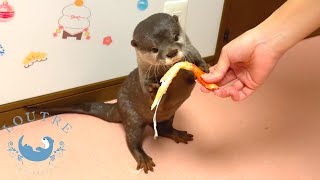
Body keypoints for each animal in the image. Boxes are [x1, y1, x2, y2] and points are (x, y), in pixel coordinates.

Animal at [28, 13, 210, 174]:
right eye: (154, 49)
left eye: (176, 36)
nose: (171, 52)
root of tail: (118, 106)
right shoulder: (144, 78)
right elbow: (154, 97)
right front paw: (154, 89)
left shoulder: (192, 52)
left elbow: (196, 63)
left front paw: (203, 67)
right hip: (132, 118)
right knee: (131, 141)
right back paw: (143, 158)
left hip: (169, 116)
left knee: (164, 129)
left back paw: (178, 134)